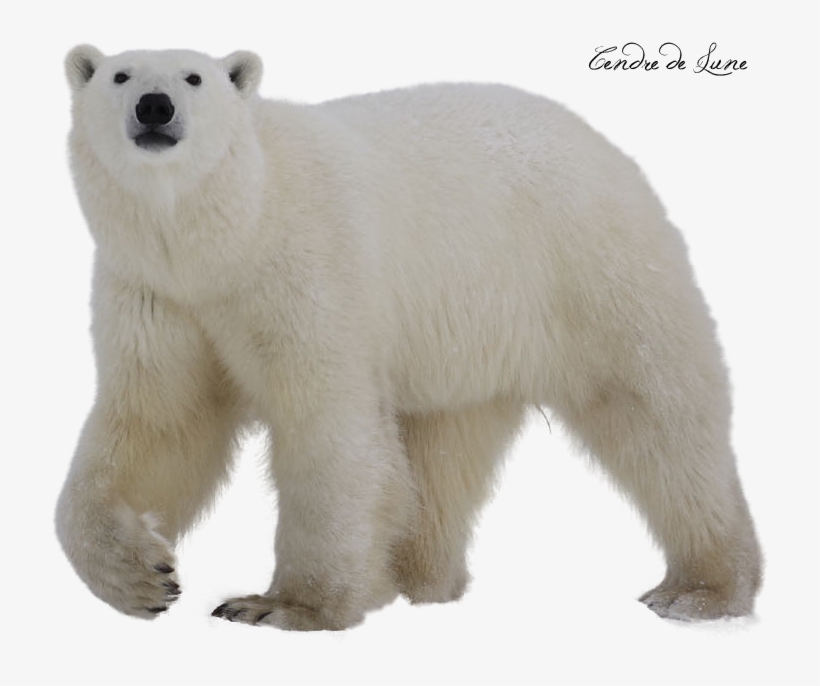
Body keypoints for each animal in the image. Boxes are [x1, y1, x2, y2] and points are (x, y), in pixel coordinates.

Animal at [57, 44, 762, 631]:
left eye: (193, 77)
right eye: (120, 75)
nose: (154, 106)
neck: (229, 234)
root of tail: (608, 146)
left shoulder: (304, 267)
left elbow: (327, 424)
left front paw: (282, 606)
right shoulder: (159, 294)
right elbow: (160, 424)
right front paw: (143, 578)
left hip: (587, 269)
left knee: (656, 415)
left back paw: (700, 591)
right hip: (466, 340)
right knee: (442, 452)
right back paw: (415, 577)